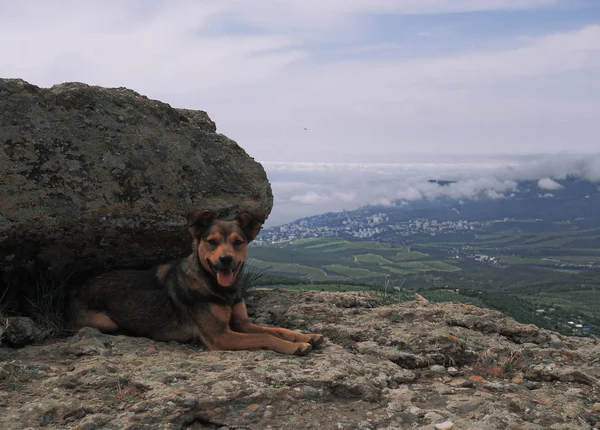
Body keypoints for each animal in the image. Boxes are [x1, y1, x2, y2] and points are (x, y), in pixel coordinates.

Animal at [67, 210, 324, 354]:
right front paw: (295, 346)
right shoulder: (220, 336)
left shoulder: (240, 323)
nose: (226, 259)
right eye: (211, 241)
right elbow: (265, 337)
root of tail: (77, 289)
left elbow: (276, 329)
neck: (221, 289)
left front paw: (305, 336)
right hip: (102, 322)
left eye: (238, 242)